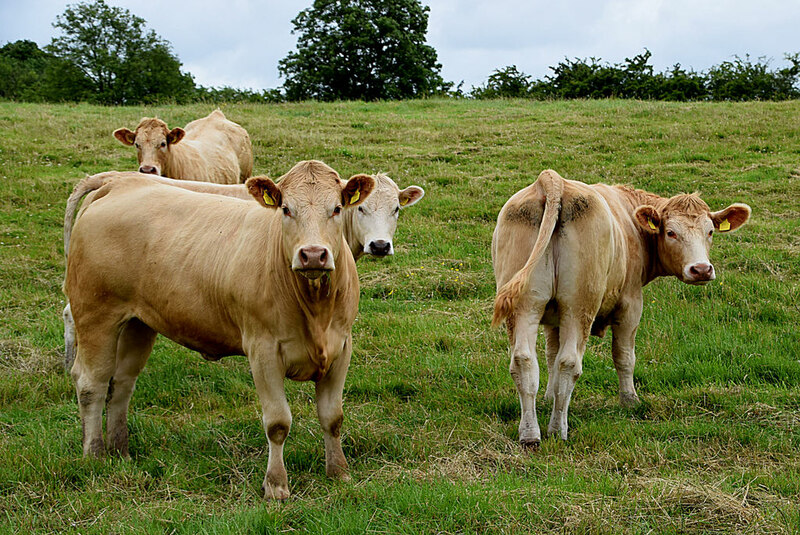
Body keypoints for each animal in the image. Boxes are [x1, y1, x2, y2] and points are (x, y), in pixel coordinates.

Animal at [63, 161, 376, 500]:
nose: (314, 254)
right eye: (286, 209)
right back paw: (94, 455)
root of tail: (118, 182)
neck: (315, 307)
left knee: (121, 383)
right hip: (96, 313)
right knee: (91, 382)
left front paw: (339, 473)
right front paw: (276, 485)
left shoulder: (341, 347)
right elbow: (277, 422)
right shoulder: (263, 350)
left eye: (337, 208)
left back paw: (121, 451)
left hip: (138, 322)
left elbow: (332, 417)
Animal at [494, 171, 752, 448]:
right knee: (569, 363)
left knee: (525, 361)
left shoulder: (553, 317)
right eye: (671, 232)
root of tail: (553, 182)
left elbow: (551, 355)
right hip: (578, 306)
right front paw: (630, 401)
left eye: (710, 231)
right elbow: (624, 356)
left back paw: (530, 434)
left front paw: (548, 397)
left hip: (525, 306)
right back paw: (557, 430)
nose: (701, 269)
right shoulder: (631, 305)